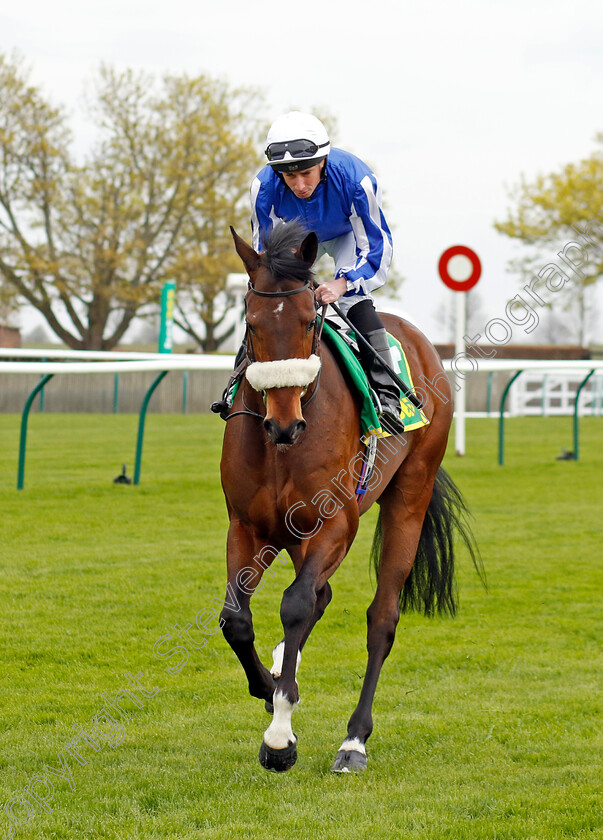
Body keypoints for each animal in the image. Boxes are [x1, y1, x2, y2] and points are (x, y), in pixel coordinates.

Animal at [219, 220, 478, 772]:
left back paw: (354, 740)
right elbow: (236, 619)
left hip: (410, 495)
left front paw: (280, 737)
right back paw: (283, 666)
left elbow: (296, 604)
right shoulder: (247, 526)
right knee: (321, 596)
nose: (285, 424)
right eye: (251, 322)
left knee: (380, 617)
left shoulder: (335, 523)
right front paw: (270, 684)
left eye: (307, 322)